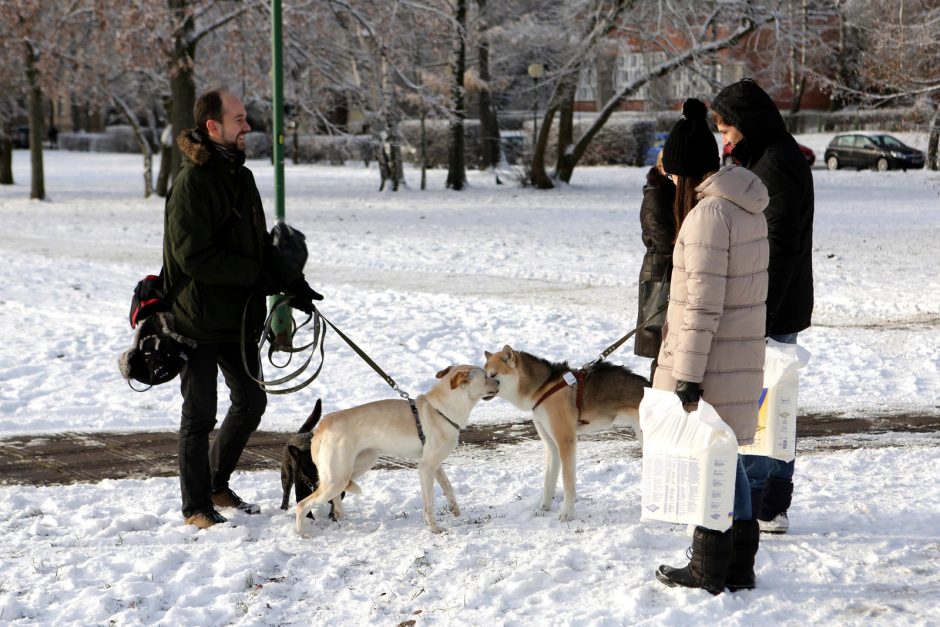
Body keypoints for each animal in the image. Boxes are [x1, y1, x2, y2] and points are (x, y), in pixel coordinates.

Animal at [296, 368, 500, 536]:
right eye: (486, 376)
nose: (499, 381)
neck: (442, 410)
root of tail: (322, 426)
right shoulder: (426, 468)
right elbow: (429, 504)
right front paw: (434, 528)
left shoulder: (435, 464)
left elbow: (448, 486)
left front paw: (455, 510)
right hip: (337, 478)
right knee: (302, 505)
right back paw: (302, 534)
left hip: (359, 464)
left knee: (339, 495)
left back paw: (341, 516)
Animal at [484, 346, 648, 524]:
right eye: (484, 374)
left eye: (492, 375)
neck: (543, 388)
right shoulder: (551, 446)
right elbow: (548, 481)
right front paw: (544, 507)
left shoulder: (565, 441)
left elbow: (567, 482)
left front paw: (567, 514)